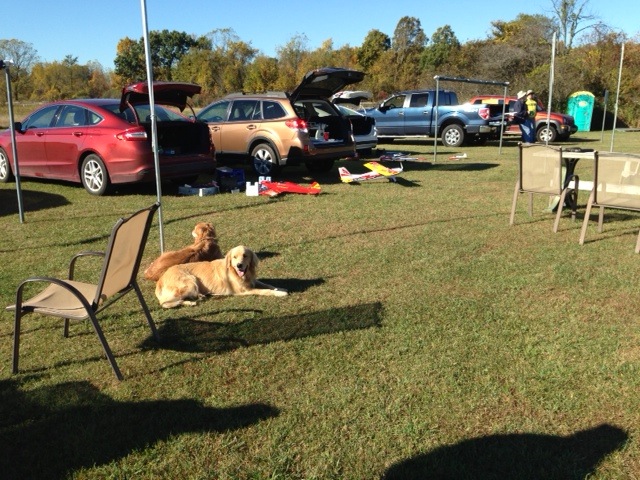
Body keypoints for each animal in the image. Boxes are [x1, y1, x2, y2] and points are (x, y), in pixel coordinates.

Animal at [155, 246, 288, 310]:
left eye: (245, 256)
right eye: (234, 257)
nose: (239, 265)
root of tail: (161, 278)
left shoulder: (252, 281)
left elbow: (267, 285)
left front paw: (280, 288)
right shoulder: (245, 290)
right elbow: (265, 291)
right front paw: (280, 293)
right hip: (190, 282)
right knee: (164, 303)